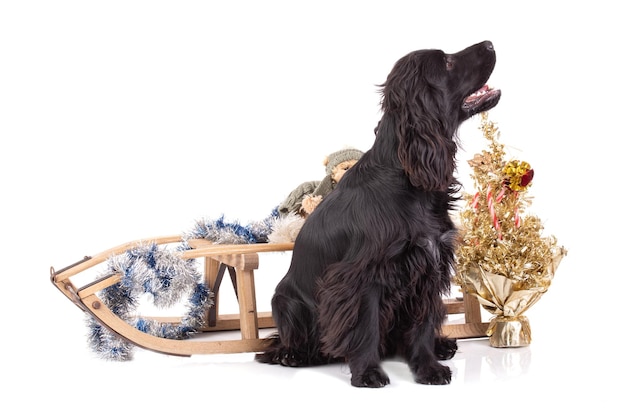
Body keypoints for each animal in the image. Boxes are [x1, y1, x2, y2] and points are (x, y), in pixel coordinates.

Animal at [256, 40, 500, 386]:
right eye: (447, 63)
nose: (490, 43)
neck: (406, 177)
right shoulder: (362, 276)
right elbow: (366, 326)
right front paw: (368, 372)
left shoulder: (428, 264)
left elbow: (422, 325)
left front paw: (428, 367)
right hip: (285, 299)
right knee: (285, 341)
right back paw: (293, 354)